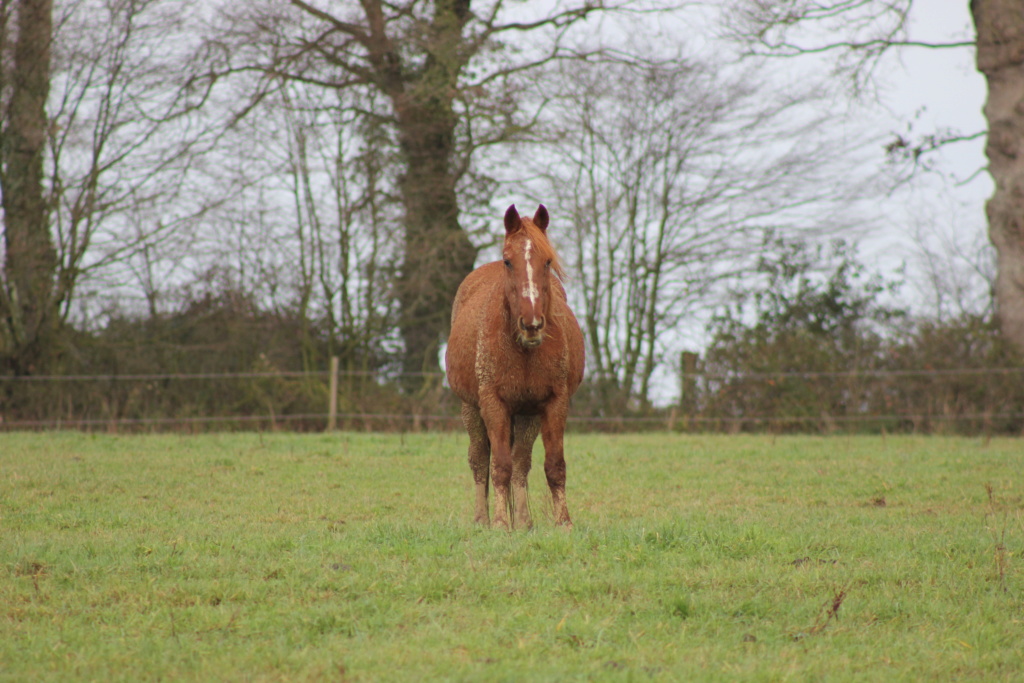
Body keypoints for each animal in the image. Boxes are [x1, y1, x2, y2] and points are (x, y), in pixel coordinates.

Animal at [446, 202, 585, 528]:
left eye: (547, 261)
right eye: (508, 262)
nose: (531, 324)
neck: (523, 351)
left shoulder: (554, 403)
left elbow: (553, 465)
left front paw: (564, 523)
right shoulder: (493, 404)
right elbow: (499, 466)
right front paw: (499, 523)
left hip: (527, 415)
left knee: (522, 462)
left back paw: (523, 521)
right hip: (471, 409)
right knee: (479, 460)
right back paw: (482, 520)